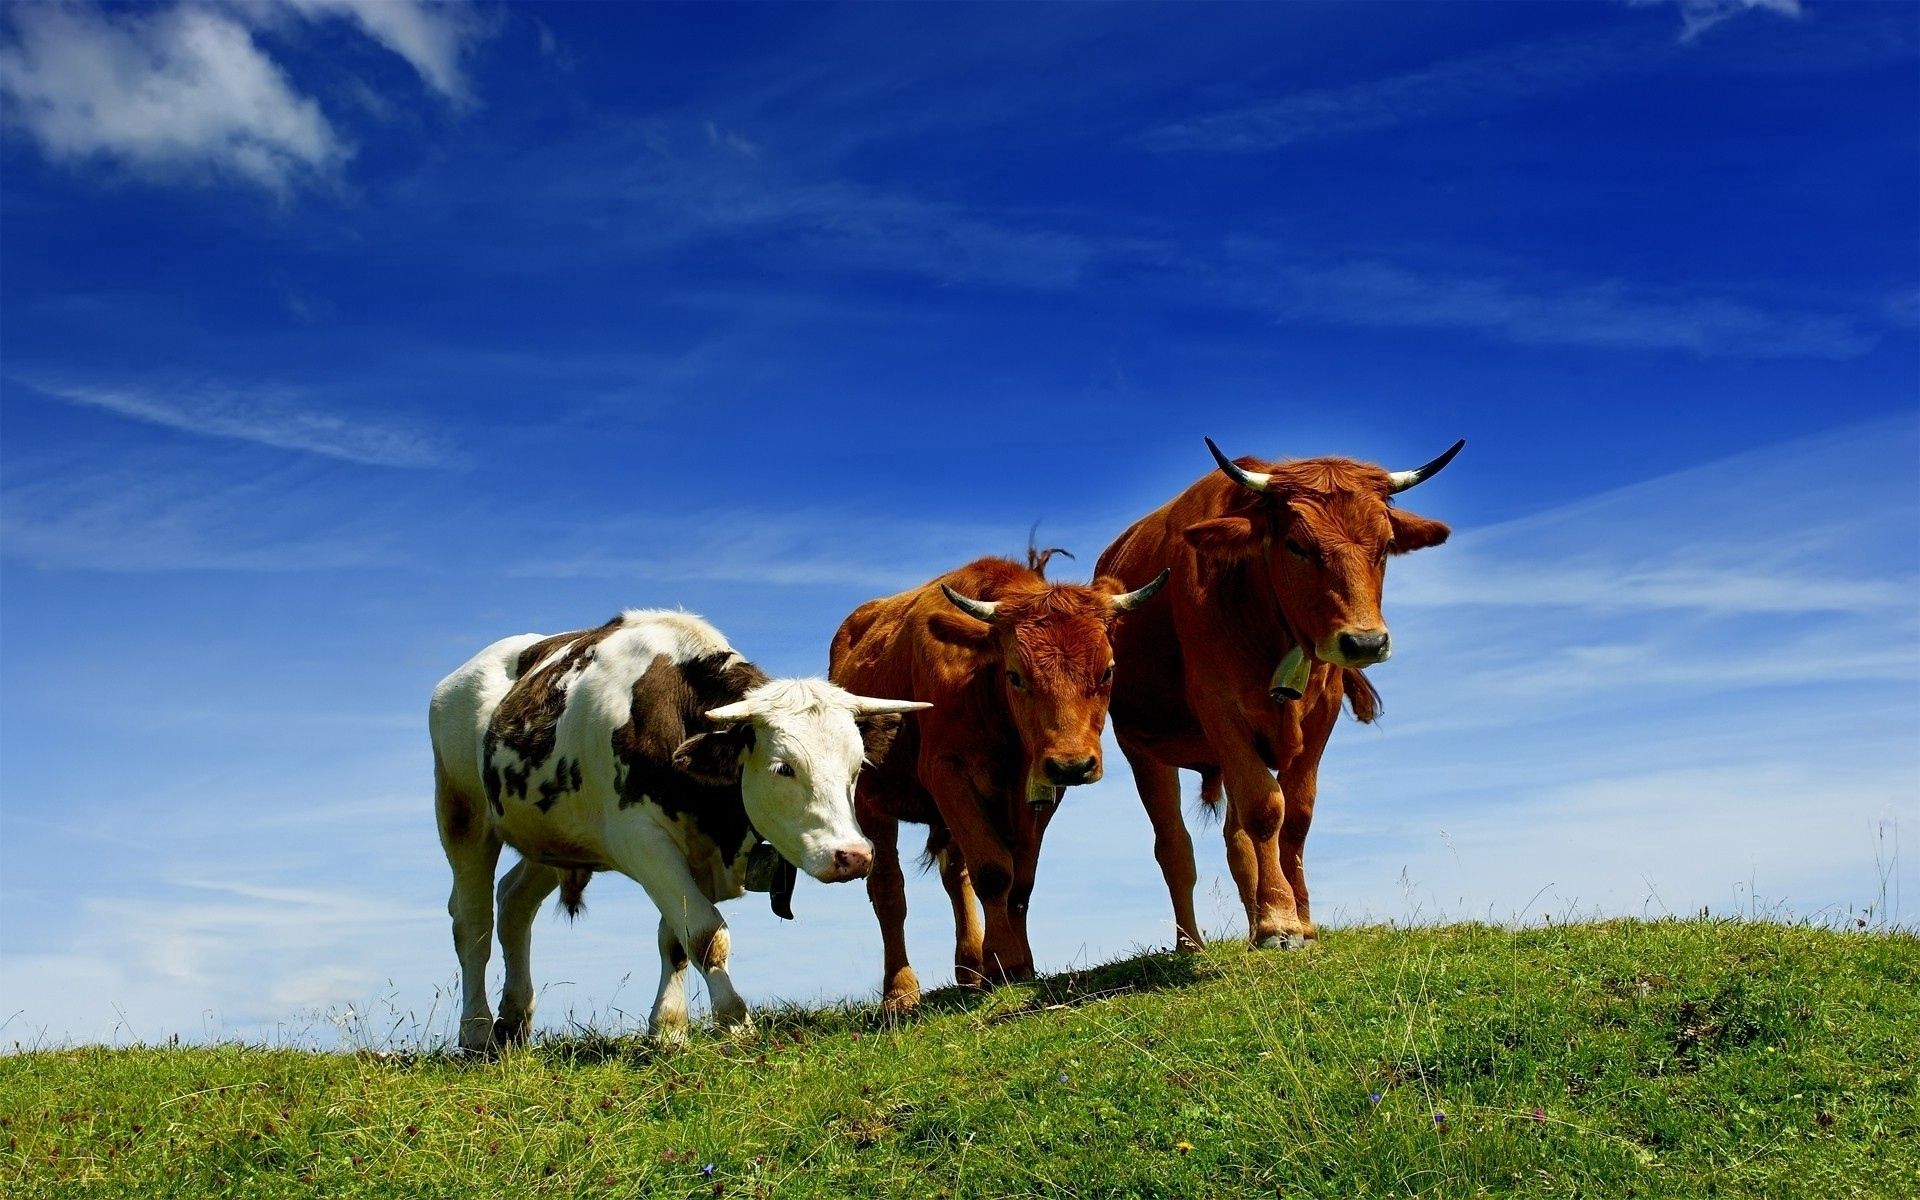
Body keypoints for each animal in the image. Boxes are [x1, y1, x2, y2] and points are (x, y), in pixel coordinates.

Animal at [429, 609, 928, 1050]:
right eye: (783, 767)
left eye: (857, 766)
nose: (854, 855)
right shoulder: (643, 843)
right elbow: (706, 933)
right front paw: (734, 1020)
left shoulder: (695, 855)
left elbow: (675, 939)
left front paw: (668, 1028)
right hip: (462, 814)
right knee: (473, 922)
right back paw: (475, 1030)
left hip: (551, 838)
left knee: (513, 904)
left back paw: (514, 1021)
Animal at [829, 551, 1168, 1012]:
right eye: (1015, 675)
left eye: (1108, 671)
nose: (1073, 764)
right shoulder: (946, 770)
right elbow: (993, 870)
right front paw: (1002, 960)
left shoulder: (1039, 789)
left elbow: (1020, 880)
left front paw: (1016, 964)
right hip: (871, 801)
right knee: (889, 890)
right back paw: (900, 991)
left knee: (955, 876)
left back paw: (970, 966)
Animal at [1095, 438, 1463, 951]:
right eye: (1297, 545)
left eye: (1386, 545)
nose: (1366, 642)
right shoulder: (1219, 708)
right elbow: (1266, 809)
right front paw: (1278, 923)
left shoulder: (1321, 714)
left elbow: (1296, 817)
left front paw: (1300, 922)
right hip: (1143, 749)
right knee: (1174, 845)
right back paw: (1191, 943)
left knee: (1236, 840)